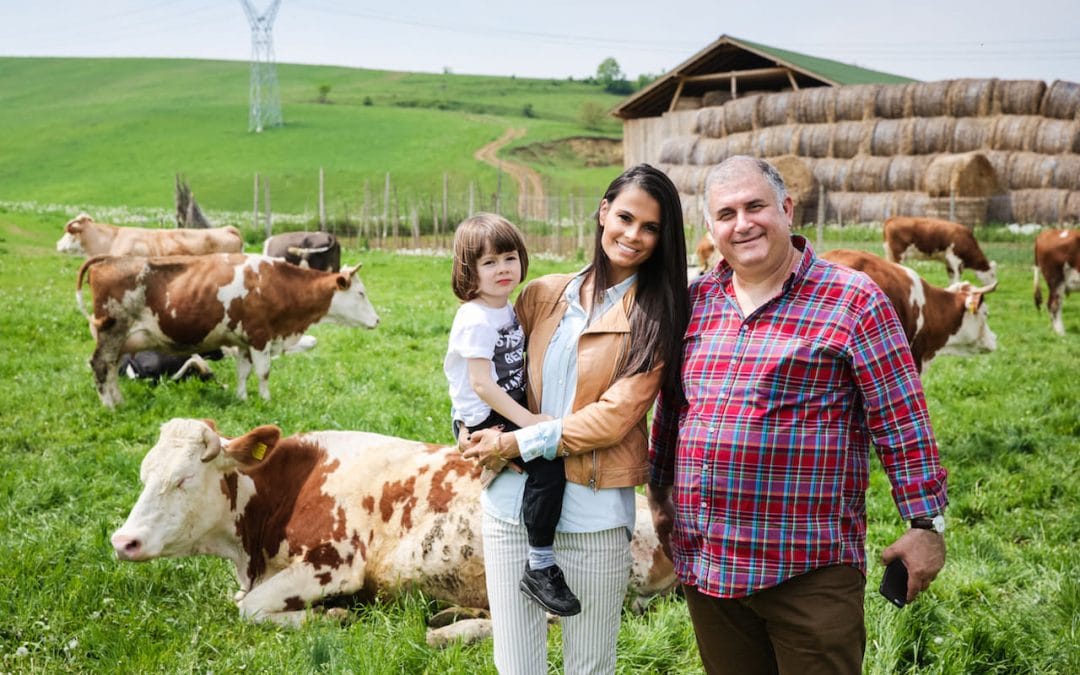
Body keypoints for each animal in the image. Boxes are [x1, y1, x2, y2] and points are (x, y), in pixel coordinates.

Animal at [77, 251, 380, 406]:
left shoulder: (244, 341)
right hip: (112, 332)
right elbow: (264, 372)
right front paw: (266, 400)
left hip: (122, 341)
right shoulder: (259, 337)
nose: (377, 320)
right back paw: (110, 407)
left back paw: (119, 401)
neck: (276, 284)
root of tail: (108, 260)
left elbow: (243, 372)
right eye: (361, 293)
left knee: (111, 369)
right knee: (100, 366)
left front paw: (242, 397)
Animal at [109, 419, 673, 622]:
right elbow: (242, 601)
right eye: (143, 473)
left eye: (182, 479)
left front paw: (332, 616)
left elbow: (248, 609)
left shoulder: (335, 564)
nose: (123, 540)